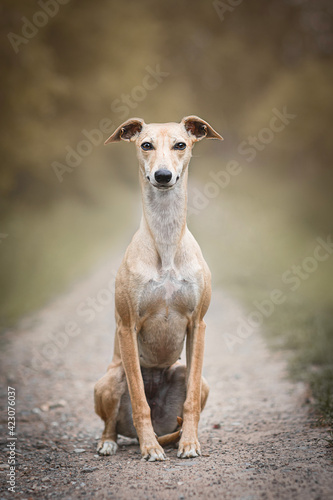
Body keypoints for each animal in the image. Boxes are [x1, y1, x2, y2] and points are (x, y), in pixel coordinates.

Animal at [93, 116, 222, 460]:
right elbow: (140, 402)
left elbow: (190, 403)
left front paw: (189, 443)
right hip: (110, 380)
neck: (165, 241)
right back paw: (114, 442)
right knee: (112, 422)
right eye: (145, 145)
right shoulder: (127, 326)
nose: (163, 176)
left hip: (194, 379)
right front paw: (150, 448)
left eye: (181, 144)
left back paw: (174, 439)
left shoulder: (198, 325)